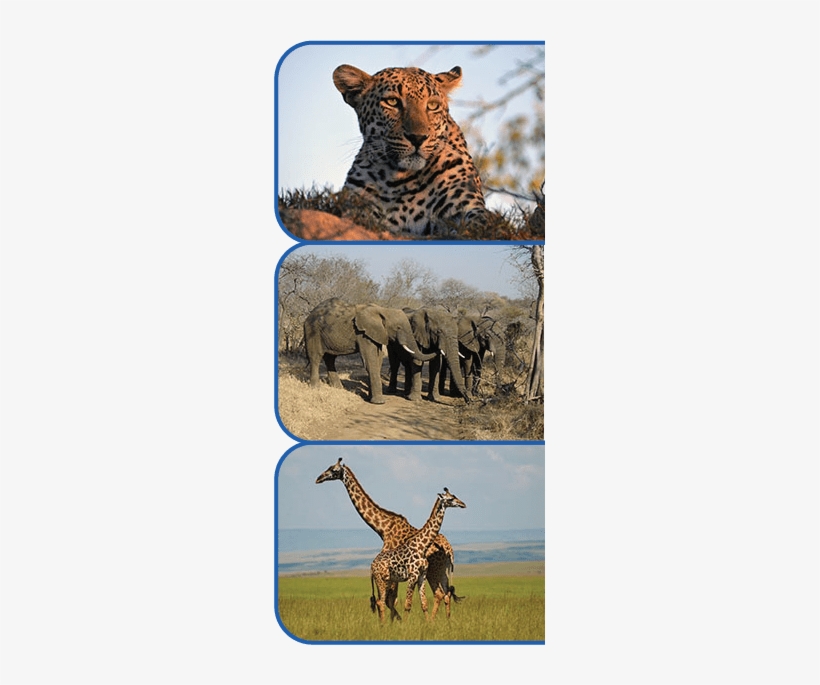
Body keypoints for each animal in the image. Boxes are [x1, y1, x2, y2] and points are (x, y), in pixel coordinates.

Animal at [370, 488, 466, 623]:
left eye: (454, 495)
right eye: (451, 499)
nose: (463, 504)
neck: (423, 546)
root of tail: (371, 566)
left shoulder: (422, 575)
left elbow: (424, 603)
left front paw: (428, 623)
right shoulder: (412, 575)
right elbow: (407, 604)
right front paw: (405, 625)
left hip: (386, 580)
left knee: (381, 601)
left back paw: (383, 623)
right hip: (381, 580)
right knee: (381, 602)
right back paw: (382, 625)